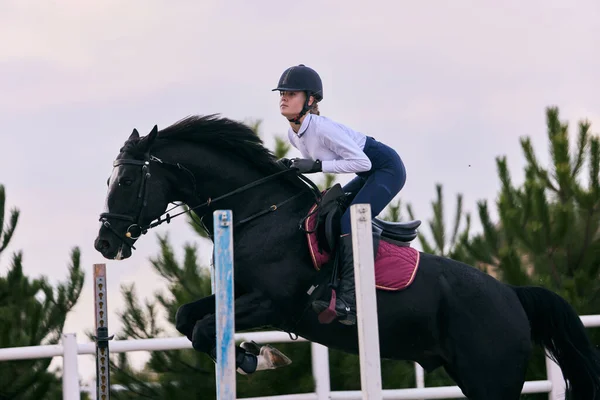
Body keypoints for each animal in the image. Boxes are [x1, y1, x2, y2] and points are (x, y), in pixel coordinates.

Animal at [94, 114, 600, 398]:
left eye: (126, 181)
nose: (104, 245)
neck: (258, 215)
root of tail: (513, 295)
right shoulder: (239, 295)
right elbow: (188, 318)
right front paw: (251, 355)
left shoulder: (275, 304)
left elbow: (202, 329)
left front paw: (257, 357)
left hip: (489, 378)